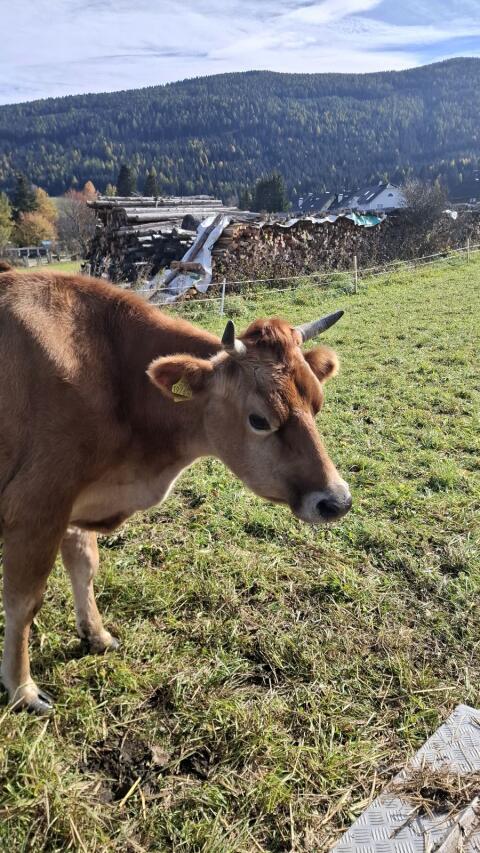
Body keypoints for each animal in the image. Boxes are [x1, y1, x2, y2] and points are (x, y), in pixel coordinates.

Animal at [0, 265, 351, 714]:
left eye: (318, 404)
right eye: (259, 420)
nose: (337, 500)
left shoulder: (76, 501)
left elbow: (85, 566)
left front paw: (96, 634)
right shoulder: (37, 504)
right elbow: (24, 602)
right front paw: (22, 689)